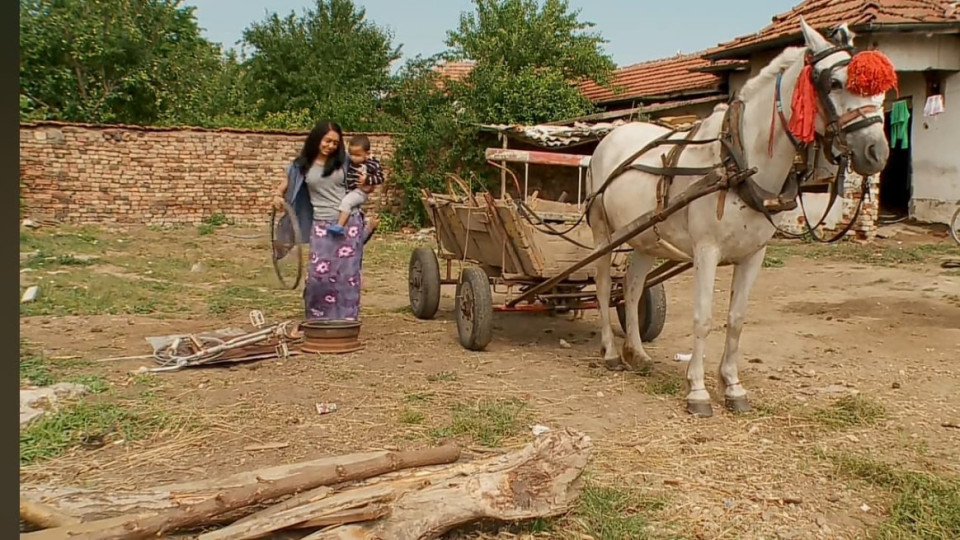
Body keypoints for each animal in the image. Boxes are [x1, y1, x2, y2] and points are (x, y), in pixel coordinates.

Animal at [584, 20, 892, 418]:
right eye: (835, 83)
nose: (876, 152)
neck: (739, 162)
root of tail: (613, 134)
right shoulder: (706, 252)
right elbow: (703, 318)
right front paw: (698, 390)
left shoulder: (753, 254)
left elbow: (736, 318)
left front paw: (732, 386)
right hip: (604, 234)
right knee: (605, 286)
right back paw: (610, 351)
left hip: (645, 237)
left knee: (634, 287)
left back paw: (636, 352)